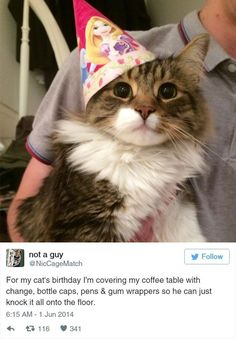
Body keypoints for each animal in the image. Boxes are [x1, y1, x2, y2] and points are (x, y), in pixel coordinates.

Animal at [16, 33, 210, 242]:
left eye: (168, 91)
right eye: (122, 90)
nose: (145, 110)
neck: (141, 157)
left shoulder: (176, 208)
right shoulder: (85, 224)